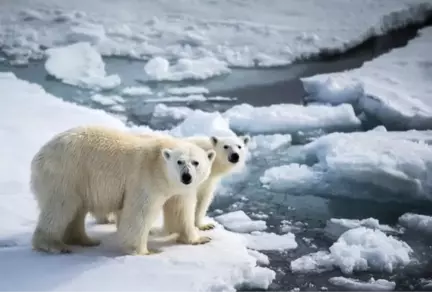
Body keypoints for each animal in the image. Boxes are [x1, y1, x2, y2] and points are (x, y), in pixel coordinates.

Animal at [29, 125, 215, 256]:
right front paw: (145, 251)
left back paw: (85, 240)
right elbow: (138, 213)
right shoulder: (146, 178)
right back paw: (54, 245)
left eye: (196, 162)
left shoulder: (179, 190)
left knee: (75, 211)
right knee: (60, 207)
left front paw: (200, 239)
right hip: (66, 173)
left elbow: (181, 211)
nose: (186, 177)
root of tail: (39, 156)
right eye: (179, 161)